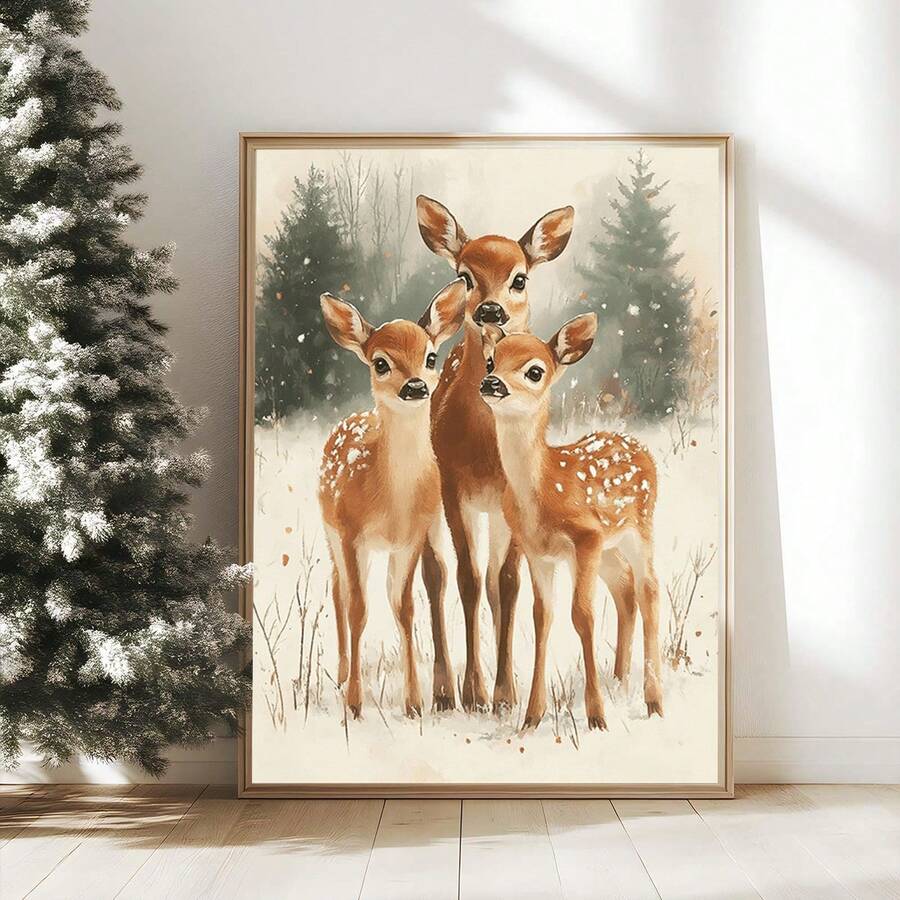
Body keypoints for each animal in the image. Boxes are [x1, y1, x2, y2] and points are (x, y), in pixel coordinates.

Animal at [318, 279, 467, 719]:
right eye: (380, 363)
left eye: (431, 356)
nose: (415, 386)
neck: (391, 500)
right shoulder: (351, 532)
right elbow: (358, 608)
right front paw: (354, 704)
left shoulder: (411, 538)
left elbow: (403, 608)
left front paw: (414, 703)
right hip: (332, 533)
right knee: (339, 588)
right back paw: (341, 674)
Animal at [416, 196, 576, 714]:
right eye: (465, 276)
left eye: (519, 277)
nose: (491, 310)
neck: (486, 450)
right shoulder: (453, 486)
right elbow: (464, 579)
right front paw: (474, 692)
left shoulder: (513, 494)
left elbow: (505, 583)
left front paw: (506, 693)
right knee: (436, 575)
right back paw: (444, 691)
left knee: (491, 582)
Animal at [479, 313, 664, 730]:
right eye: (490, 361)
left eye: (534, 371)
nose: (491, 383)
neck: (544, 489)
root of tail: (642, 449)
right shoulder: (538, 551)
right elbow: (542, 617)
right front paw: (532, 716)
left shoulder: (586, 537)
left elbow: (582, 616)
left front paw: (596, 716)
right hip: (609, 547)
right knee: (625, 587)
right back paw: (619, 681)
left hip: (639, 527)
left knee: (648, 589)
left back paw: (653, 701)